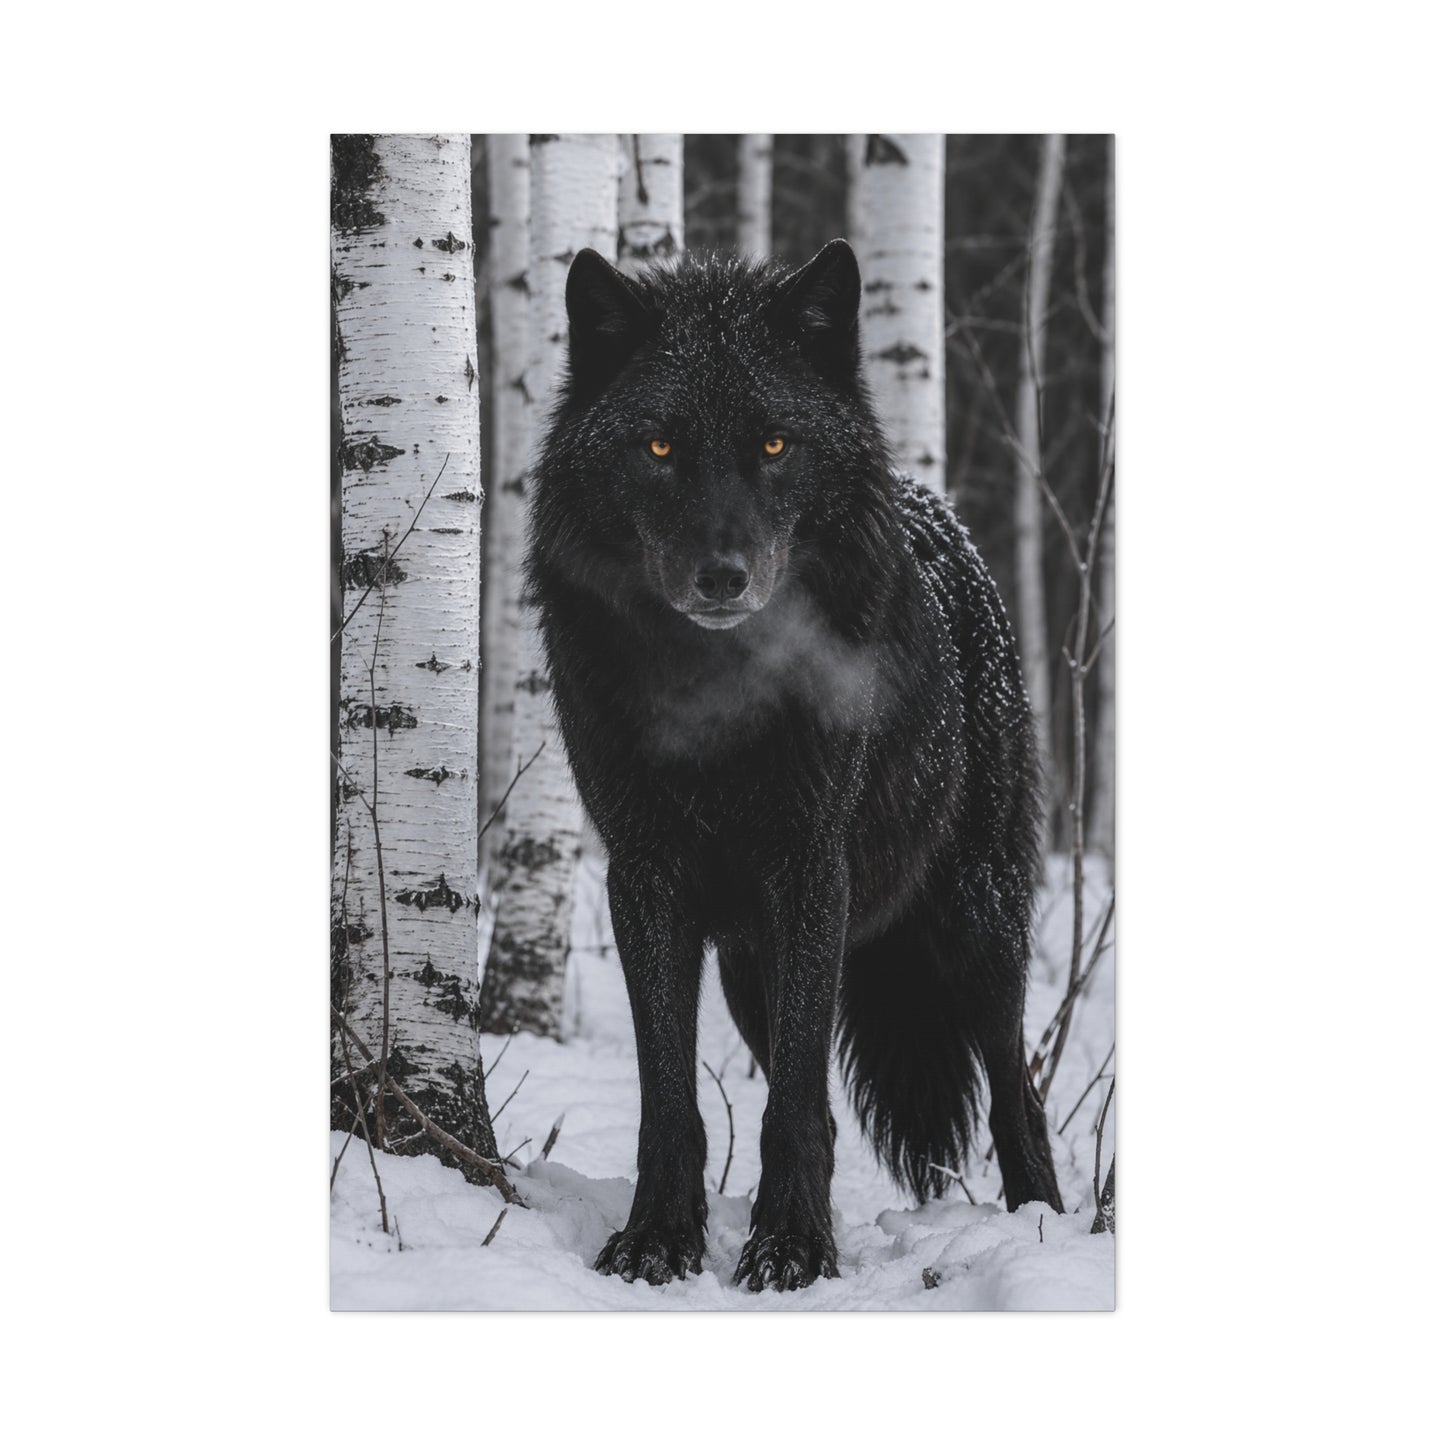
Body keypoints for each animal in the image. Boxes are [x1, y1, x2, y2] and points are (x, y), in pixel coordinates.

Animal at [525, 239, 1063, 1291]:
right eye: (658, 448)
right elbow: (671, 1096)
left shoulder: (810, 870)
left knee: (1017, 1095)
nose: (722, 577)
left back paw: (1048, 1230)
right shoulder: (644, 878)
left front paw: (790, 1248)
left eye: (775, 446)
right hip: (749, 969)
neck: (716, 694)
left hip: (973, 924)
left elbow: (796, 1107)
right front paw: (659, 1238)